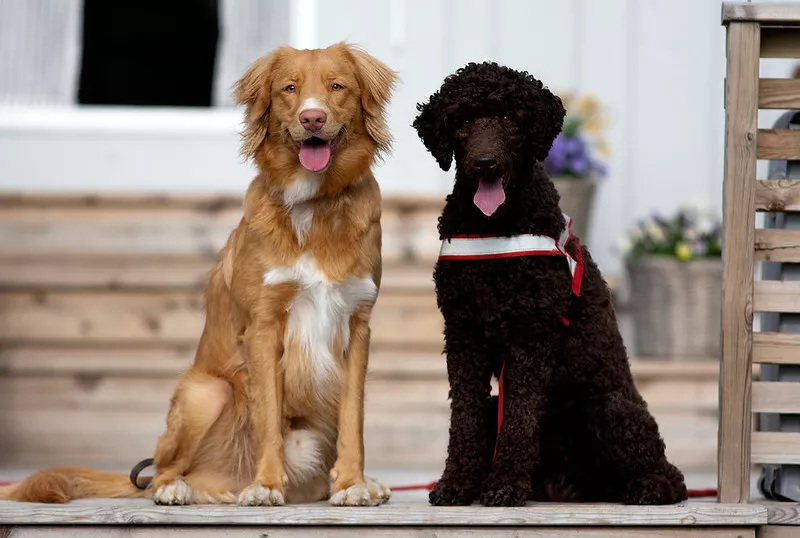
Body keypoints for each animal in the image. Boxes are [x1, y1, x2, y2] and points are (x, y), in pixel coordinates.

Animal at [0, 44, 400, 504]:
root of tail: (218, 481)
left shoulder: (357, 325)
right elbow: (268, 419)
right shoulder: (264, 326)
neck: (316, 206)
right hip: (204, 393)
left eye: (337, 86)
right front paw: (265, 485)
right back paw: (178, 488)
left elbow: (353, 419)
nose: (312, 118)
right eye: (289, 88)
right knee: (161, 470)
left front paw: (352, 483)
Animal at [412, 60, 688, 504]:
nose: (485, 162)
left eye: (510, 119)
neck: (497, 227)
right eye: (464, 121)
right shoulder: (463, 333)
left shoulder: (532, 334)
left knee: (668, 473)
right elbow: (465, 418)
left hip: (609, 406)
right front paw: (457, 482)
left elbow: (520, 418)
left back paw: (648, 487)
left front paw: (505, 485)